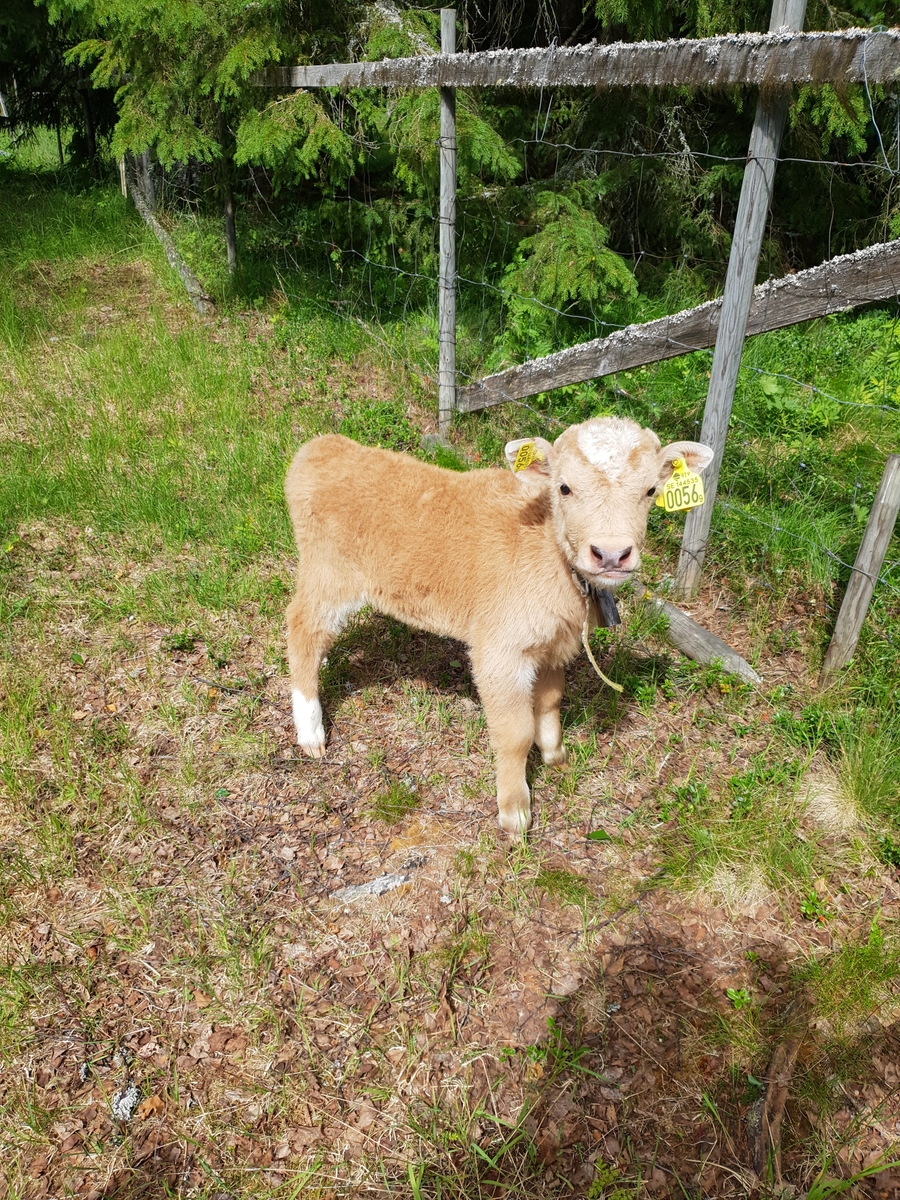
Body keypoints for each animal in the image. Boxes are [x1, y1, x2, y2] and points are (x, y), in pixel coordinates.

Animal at [284, 416, 713, 837]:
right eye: (564, 488)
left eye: (651, 490)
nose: (611, 554)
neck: (545, 547)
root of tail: (322, 447)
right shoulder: (500, 650)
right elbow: (514, 734)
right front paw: (515, 812)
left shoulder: (553, 643)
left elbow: (551, 700)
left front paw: (555, 755)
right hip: (329, 572)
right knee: (301, 625)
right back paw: (311, 732)